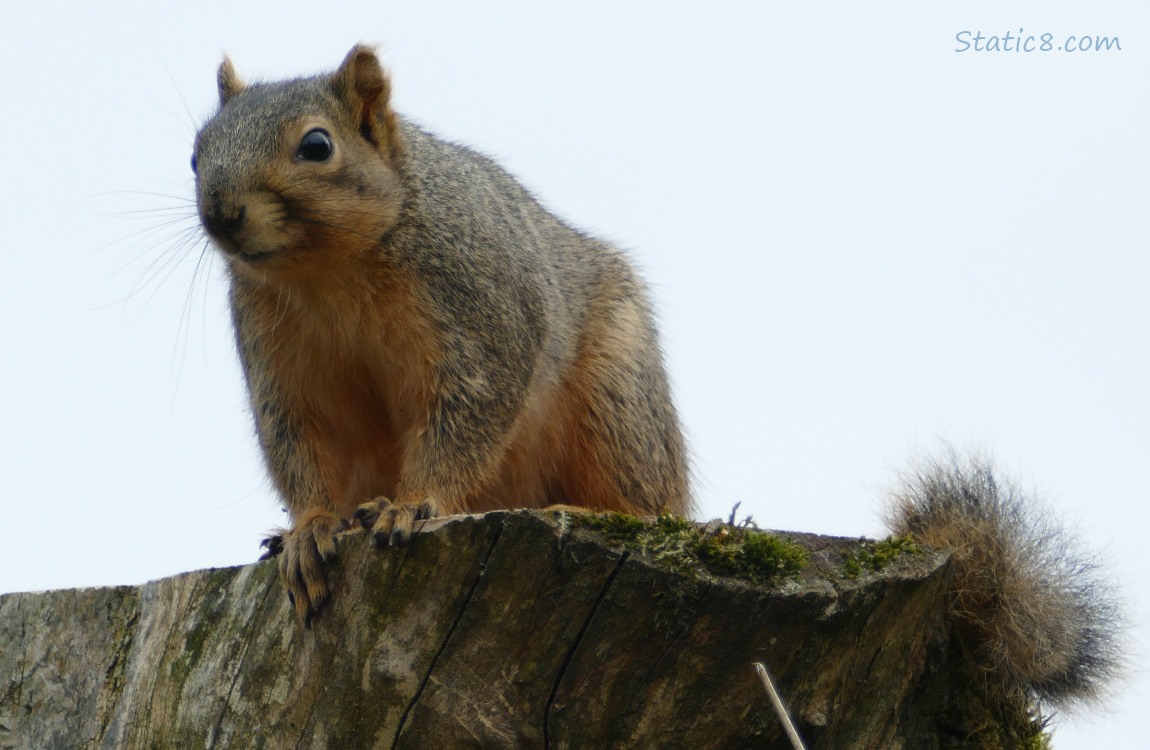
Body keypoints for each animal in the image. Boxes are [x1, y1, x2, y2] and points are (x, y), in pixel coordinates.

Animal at [191, 46, 691, 621]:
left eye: (317, 145)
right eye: (196, 153)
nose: (220, 213)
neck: (328, 273)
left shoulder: (481, 322)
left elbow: (465, 416)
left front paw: (411, 506)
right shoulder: (281, 365)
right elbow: (298, 443)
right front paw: (308, 530)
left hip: (619, 400)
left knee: (646, 501)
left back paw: (583, 512)